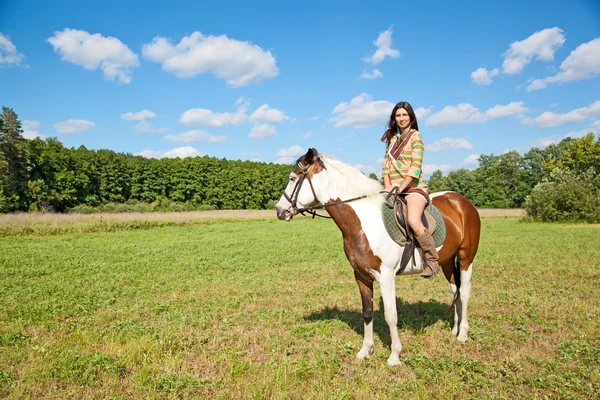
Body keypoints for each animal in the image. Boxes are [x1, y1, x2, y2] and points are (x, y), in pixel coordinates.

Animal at [274, 148, 480, 366]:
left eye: (292, 178)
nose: (279, 210)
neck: (363, 221)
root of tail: (462, 202)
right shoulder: (361, 275)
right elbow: (367, 312)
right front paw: (365, 350)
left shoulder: (386, 276)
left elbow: (391, 315)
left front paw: (394, 355)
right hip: (447, 261)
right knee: (455, 290)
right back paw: (454, 330)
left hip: (466, 258)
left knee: (464, 292)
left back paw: (462, 334)